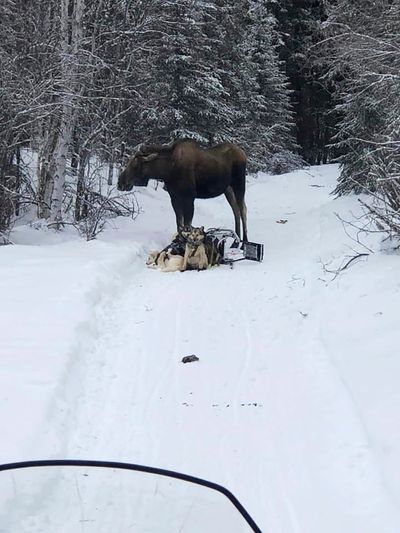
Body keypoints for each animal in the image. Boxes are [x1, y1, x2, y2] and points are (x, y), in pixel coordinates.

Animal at [118, 140, 247, 242]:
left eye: (135, 164)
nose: (120, 183)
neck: (167, 171)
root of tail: (243, 153)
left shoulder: (189, 198)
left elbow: (187, 225)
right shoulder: (174, 197)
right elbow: (179, 224)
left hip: (239, 184)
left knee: (243, 210)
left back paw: (244, 241)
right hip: (228, 189)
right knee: (236, 210)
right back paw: (237, 238)